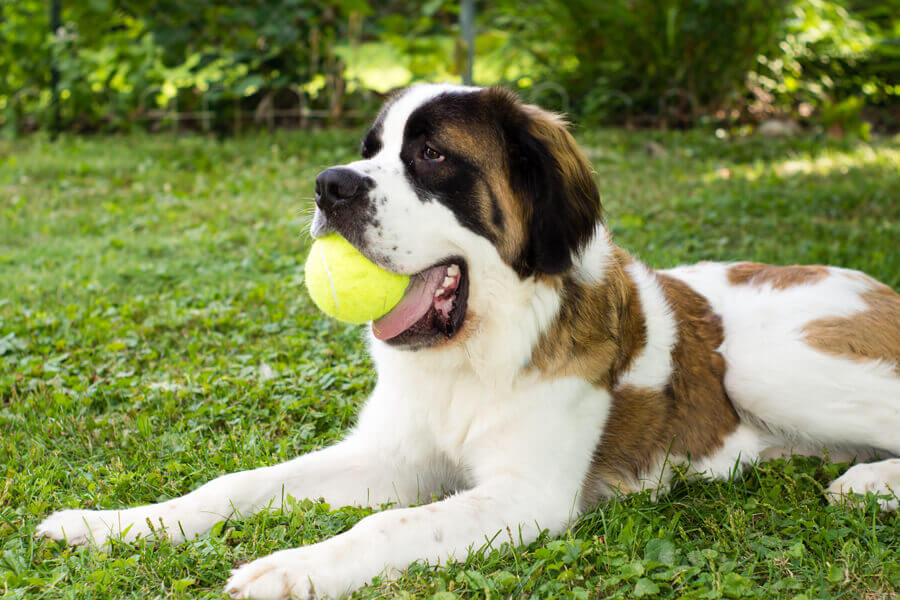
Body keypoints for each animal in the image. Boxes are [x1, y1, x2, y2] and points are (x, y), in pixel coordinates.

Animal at [37, 85, 900, 600]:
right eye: (370, 148)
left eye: (432, 155)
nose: (329, 185)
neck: (474, 354)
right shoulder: (389, 457)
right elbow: (237, 485)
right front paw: (109, 525)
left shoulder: (525, 495)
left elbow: (390, 527)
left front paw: (288, 569)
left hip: (761, 364)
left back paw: (866, 484)